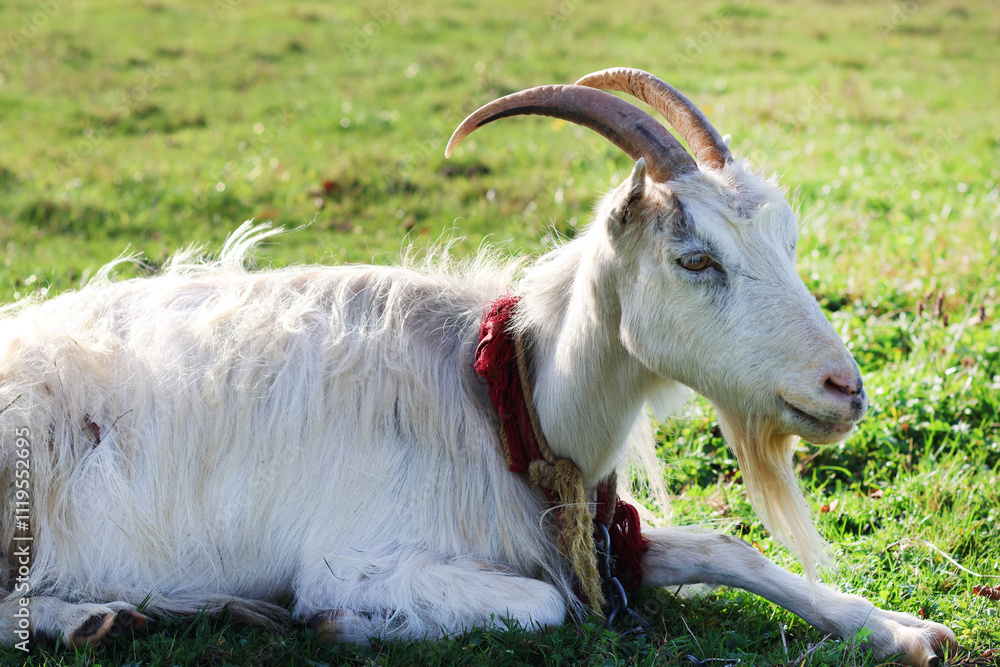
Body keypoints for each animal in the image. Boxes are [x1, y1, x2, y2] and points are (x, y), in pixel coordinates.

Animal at [0, 68, 954, 665]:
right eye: (695, 259)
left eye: (786, 241)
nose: (844, 390)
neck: (501, 393)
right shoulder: (355, 554)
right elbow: (540, 604)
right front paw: (340, 626)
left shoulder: (594, 536)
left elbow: (731, 547)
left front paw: (902, 628)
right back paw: (97, 616)